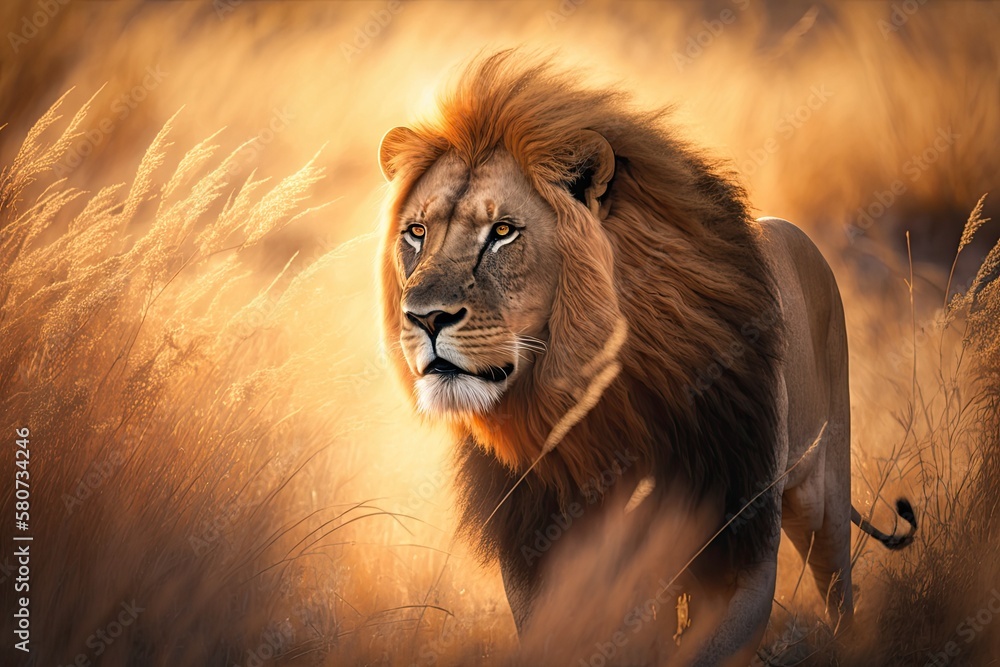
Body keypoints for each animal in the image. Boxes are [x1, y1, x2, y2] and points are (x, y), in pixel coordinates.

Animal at [376, 51, 916, 665]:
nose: (423, 318)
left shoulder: (738, 538)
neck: (593, 409)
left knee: (839, 593)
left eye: (503, 232)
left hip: (824, 495)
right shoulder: (541, 549)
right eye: (416, 232)